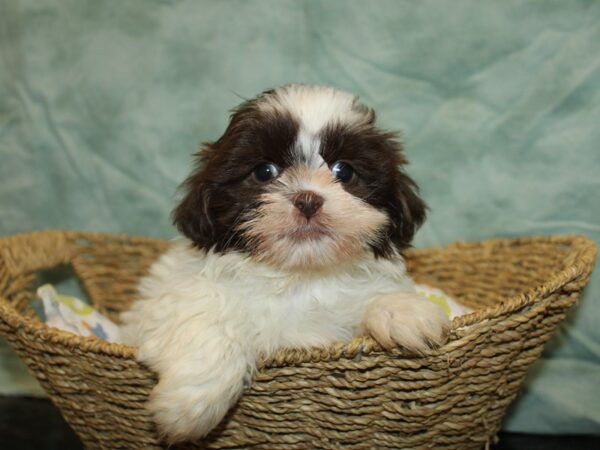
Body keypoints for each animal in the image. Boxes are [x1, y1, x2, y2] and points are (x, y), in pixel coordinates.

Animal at [120, 84, 454, 442]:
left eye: (344, 171)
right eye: (265, 171)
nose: (307, 199)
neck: (300, 277)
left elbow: (376, 298)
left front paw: (405, 313)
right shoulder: (166, 303)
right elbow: (211, 322)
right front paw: (188, 406)